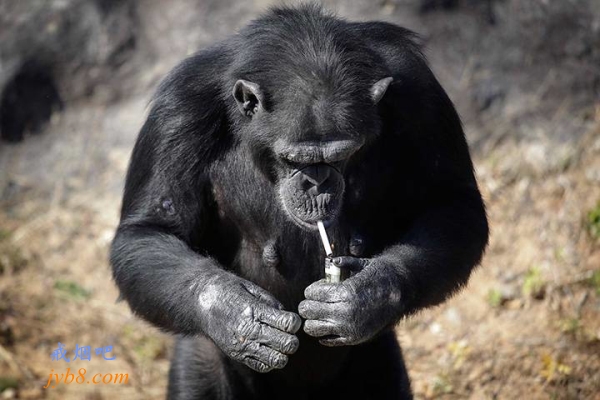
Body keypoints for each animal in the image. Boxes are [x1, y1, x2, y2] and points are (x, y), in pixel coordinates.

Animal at [110, 3, 490, 400]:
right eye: (293, 159)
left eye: (341, 155)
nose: (316, 184)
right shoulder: (178, 109)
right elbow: (149, 229)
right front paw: (236, 314)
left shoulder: (421, 93)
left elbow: (451, 203)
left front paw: (364, 297)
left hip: (377, 359)